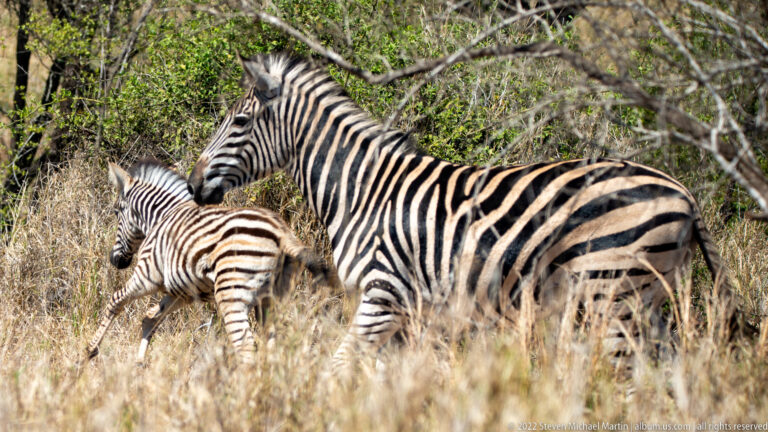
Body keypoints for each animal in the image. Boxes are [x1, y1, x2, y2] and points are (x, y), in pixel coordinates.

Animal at [87, 159, 336, 364]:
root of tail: (282, 233)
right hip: (272, 298)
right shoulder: (182, 292)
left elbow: (115, 301)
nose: (115, 260)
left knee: (245, 346)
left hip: (231, 292)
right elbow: (150, 319)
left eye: (116, 212)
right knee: (270, 342)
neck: (161, 216)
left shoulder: (147, 274)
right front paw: (139, 365)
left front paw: (89, 351)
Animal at [186, 54, 750, 368]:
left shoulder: (383, 293)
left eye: (238, 122)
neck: (360, 190)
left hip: (614, 295)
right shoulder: (413, 313)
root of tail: (683, 193)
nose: (193, 184)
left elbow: (338, 367)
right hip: (650, 299)